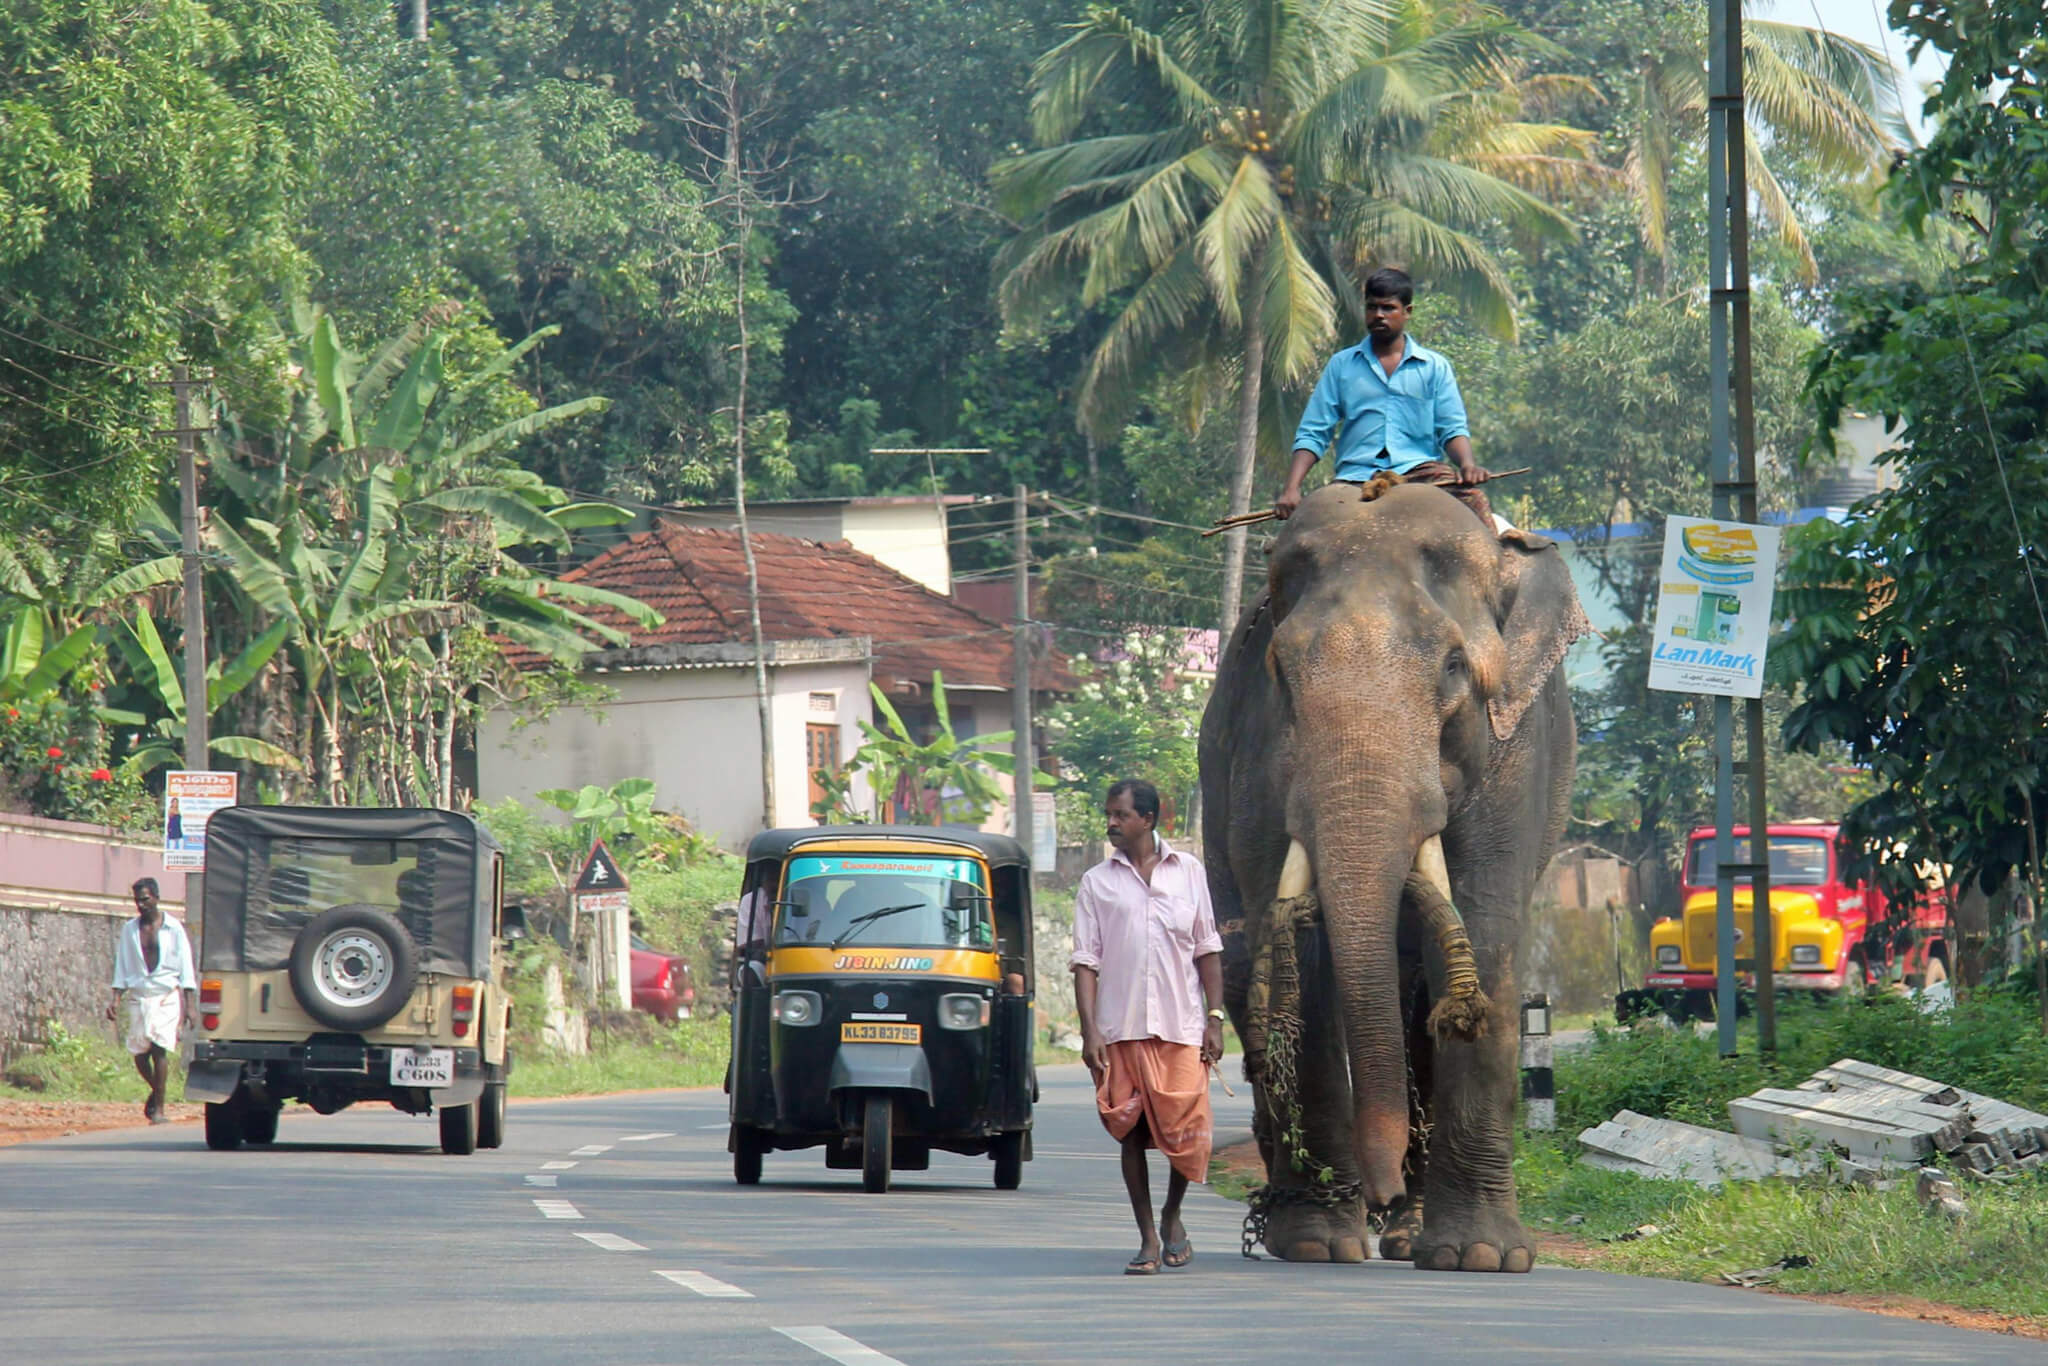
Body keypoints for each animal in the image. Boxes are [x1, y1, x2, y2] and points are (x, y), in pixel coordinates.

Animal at [1196, 479, 1581, 1269]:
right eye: (1281, 673)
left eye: (1455, 668)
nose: (1376, 1196)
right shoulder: (1257, 760)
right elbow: (1300, 949)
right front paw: (1317, 1244)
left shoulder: (1516, 751)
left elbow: (1485, 929)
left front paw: (1483, 1257)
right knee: (1248, 964)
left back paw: (1413, 1237)